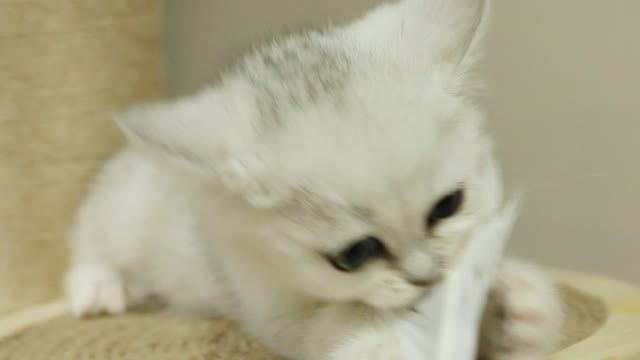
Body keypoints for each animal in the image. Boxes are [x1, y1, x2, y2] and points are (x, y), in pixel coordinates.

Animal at [65, 0, 564, 358]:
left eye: (447, 206)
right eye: (353, 254)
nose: (426, 277)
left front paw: (518, 311)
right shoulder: (266, 308)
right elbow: (337, 321)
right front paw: (382, 342)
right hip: (127, 206)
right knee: (92, 232)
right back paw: (98, 287)